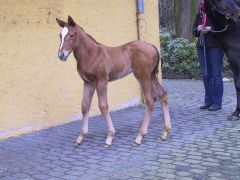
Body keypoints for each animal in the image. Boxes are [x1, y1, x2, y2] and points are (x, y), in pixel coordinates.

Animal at [56, 16, 171, 147]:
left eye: (71, 35)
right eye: (60, 35)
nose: (61, 55)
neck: (91, 54)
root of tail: (152, 46)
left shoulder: (102, 81)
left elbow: (103, 106)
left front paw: (110, 136)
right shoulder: (88, 83)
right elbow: (85, 106)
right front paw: (80, 137)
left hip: (143, 76)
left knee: (150, 101)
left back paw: (139, 136)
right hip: (151, 76)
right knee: (162, 94)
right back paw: (164, 132)